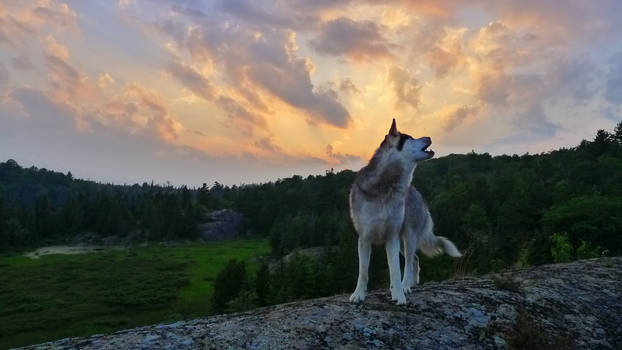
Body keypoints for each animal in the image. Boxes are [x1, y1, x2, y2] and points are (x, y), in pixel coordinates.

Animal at [352, 118, 464, 304]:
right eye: (410, 138)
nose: (429, 136)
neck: (387, 187)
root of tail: (416, 192)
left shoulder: (392, 237)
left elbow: (396, 272)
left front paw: (399, 295)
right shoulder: (364, 238)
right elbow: (363, 272)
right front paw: (358, 294)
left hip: (408, 236)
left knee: (411, 260)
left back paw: (406, 285)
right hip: (402, 242)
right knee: (414, 259)